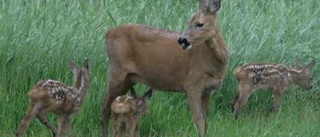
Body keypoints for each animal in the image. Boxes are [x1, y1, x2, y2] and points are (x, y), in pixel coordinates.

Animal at [102, 0, 228, 136]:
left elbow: (207, 121)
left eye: (200, 24)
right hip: (117, 72)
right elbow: (198, 120)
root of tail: (107, 33)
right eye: (189, 21)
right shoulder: (192, 85)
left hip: (129, 79)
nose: (182, 39)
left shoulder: (207, 91)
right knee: (105, 107)